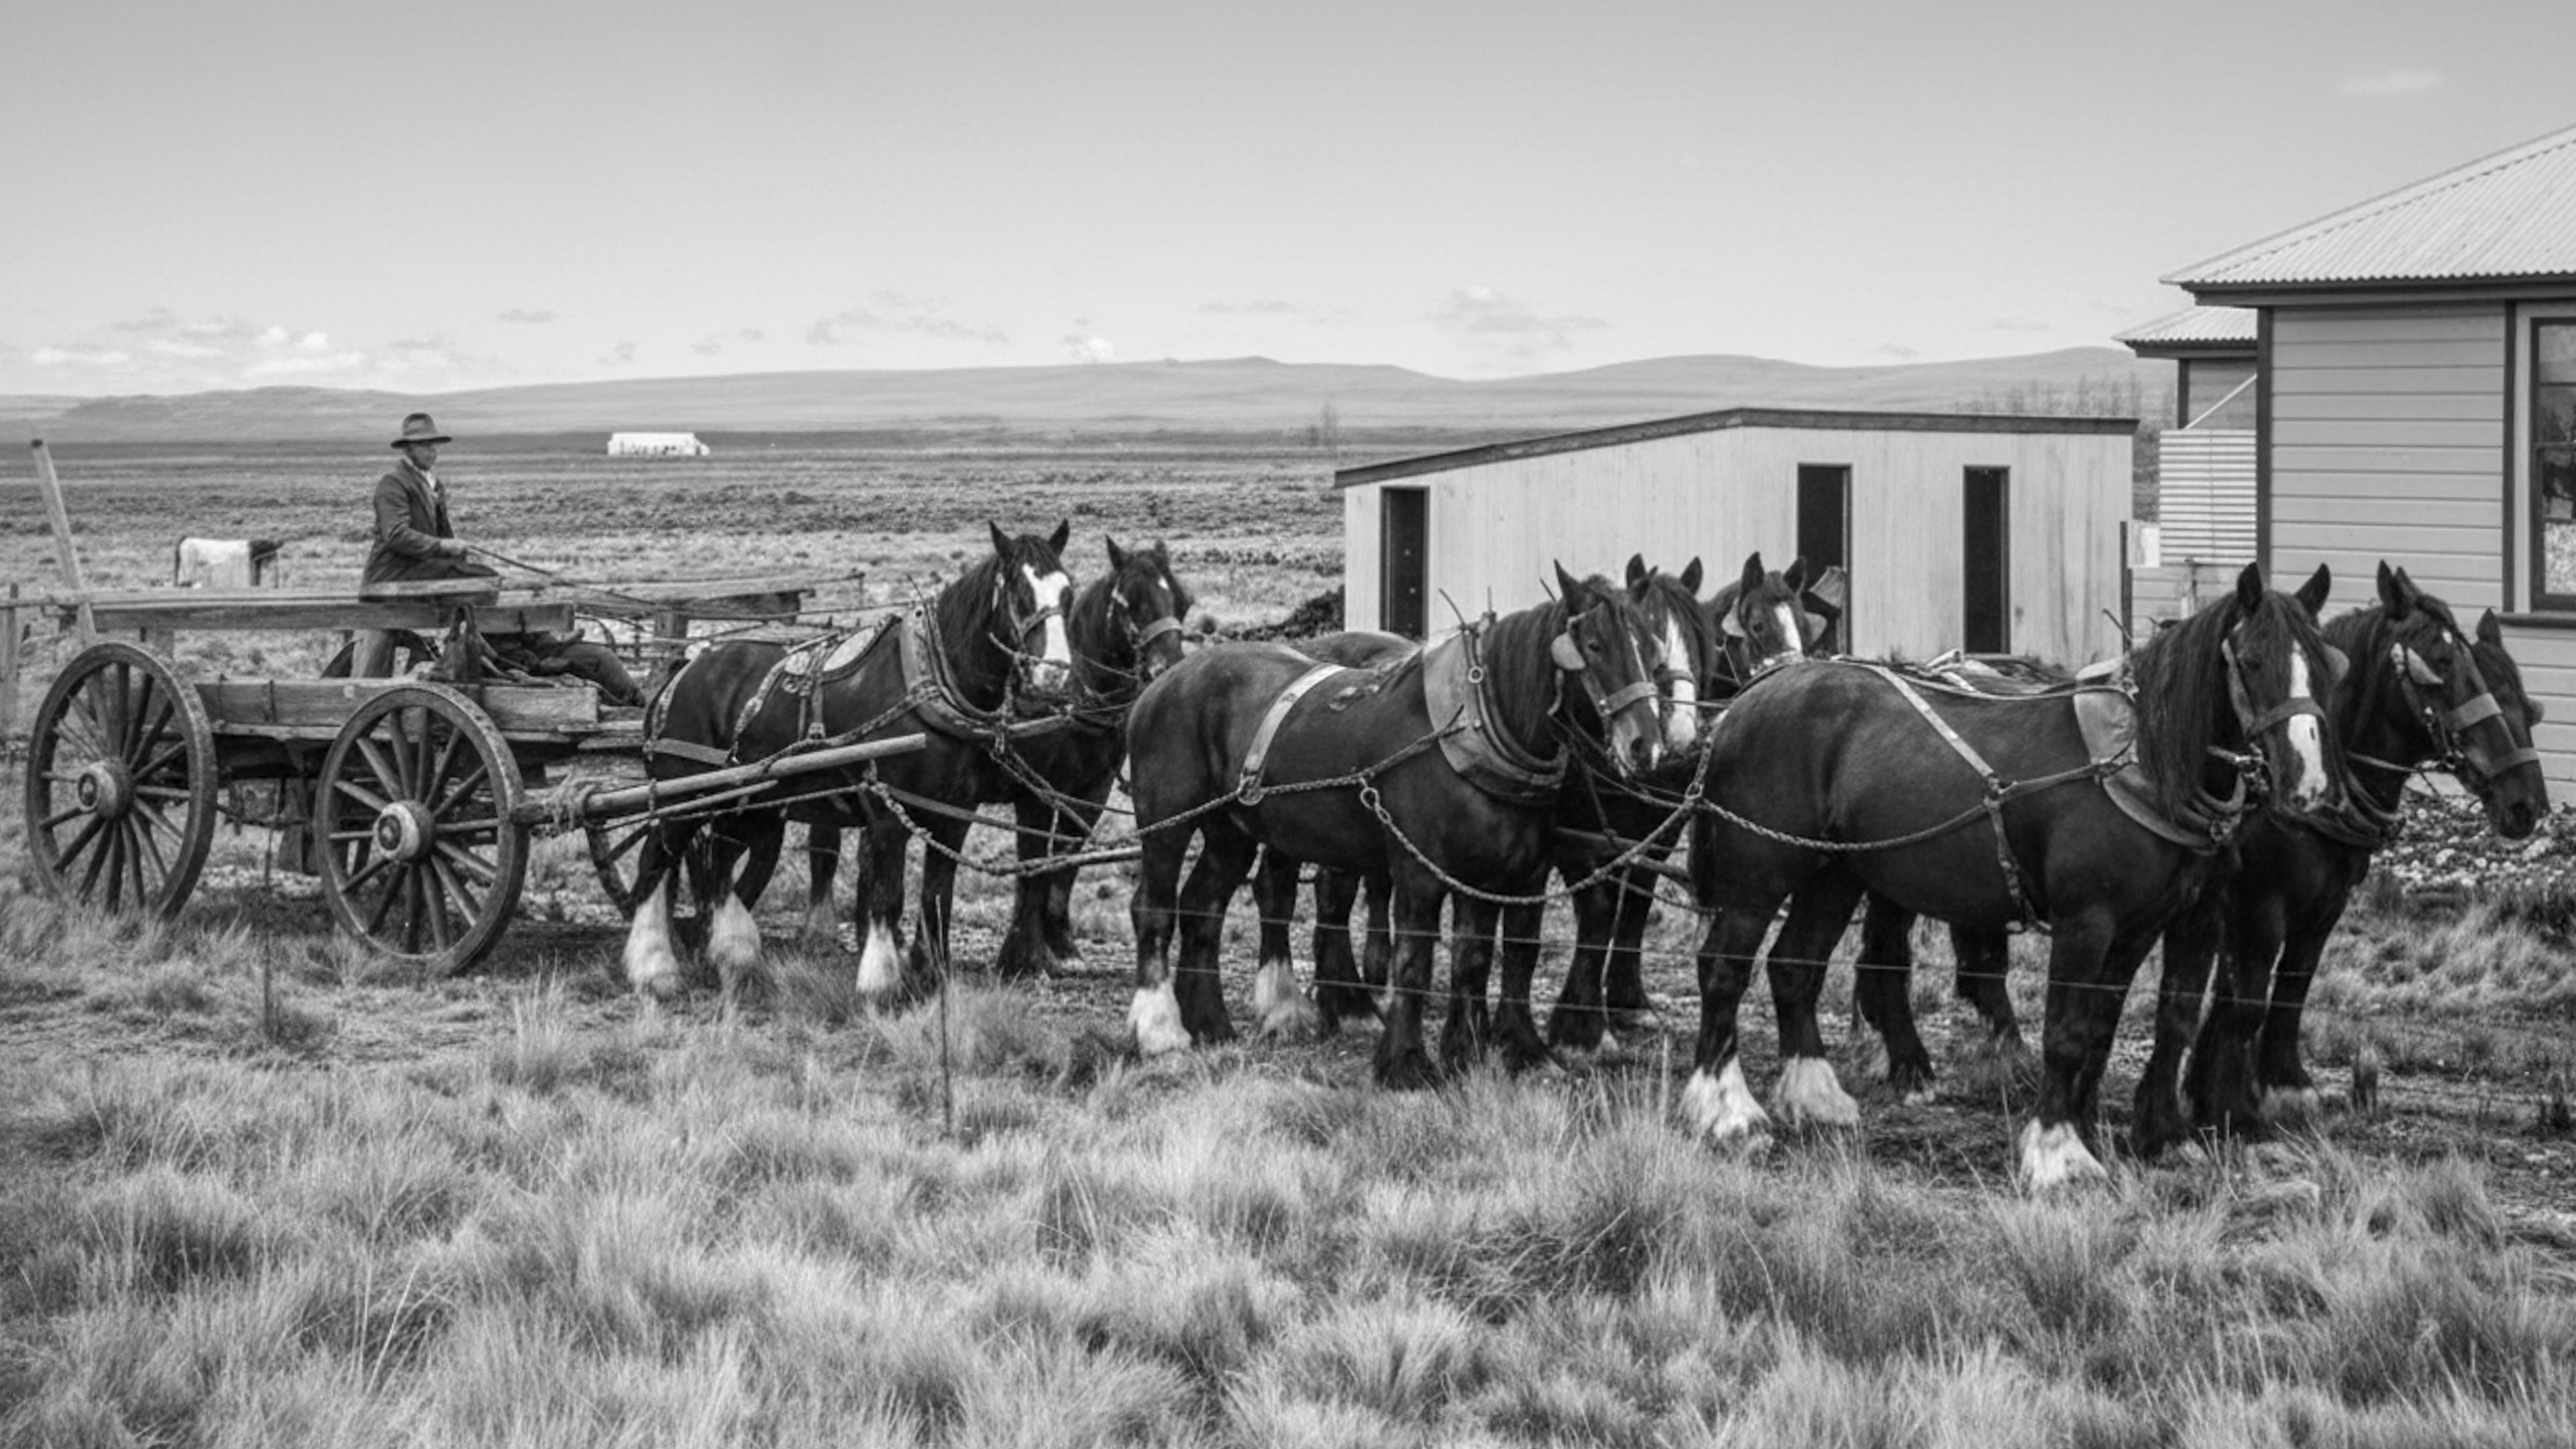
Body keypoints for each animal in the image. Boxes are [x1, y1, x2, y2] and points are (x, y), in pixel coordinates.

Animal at [620, 521, 1078, 999]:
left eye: (1069, 592)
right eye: (1020, 593)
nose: (1055, 676)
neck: (929, 684)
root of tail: (681, 673)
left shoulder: (953, 817)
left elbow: (937, 896)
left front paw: (933, 978)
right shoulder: (887, 813)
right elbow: (888, 895)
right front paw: (880, 980)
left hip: (748, 803)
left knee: (720, 864)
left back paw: (734, 956)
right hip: (683, 799)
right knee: (655, 863)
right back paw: (655, 968)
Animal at [794, 539, 1194, 978]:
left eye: (1182, 601)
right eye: (1129, 603)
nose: (1170, 668)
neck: (1073, 698)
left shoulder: (1091, 790)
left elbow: (1065, 861)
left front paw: (1060, 945)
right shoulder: (1036, 791)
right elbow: (1034, 866)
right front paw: (1025, 954)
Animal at [1124, 565, 1665, 1087]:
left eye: (1653, 649)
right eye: (1594, 646)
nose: (1647, 746)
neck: (1474, 731)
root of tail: (1166, 681)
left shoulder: (1508, 873)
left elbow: (1485, 959)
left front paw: (1491, 1052)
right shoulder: (1418, 871)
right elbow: (1414, 962)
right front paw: (1405, 1062)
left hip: (1231, 831)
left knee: (1203, 908)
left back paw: (1210, 1023)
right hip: (1167, 822)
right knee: (1154, 908)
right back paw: (1161, 1030)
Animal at [1683, 562, 2342, 1187]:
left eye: (2329, 667)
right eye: (2252, 661)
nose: (2309, 783)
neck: (2144, 764)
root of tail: (1746, 702)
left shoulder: (2181, 918)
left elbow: (2155, 1021)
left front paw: (2158, 1136)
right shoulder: (2087, 921)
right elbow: (2067, 1032)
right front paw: (2058, 1149)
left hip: (1834, 875)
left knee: (1795, 967)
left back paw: (1815, 1096)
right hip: (1759, 876)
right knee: (1723, 969)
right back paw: (1727, 1111)